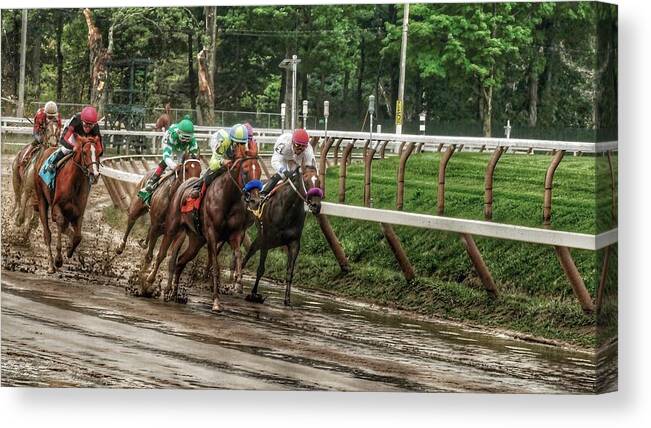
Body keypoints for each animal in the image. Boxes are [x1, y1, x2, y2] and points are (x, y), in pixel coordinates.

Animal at [33, 135, 101, 272]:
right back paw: (51, 265)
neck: (74, 182)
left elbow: (77, 236)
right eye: (84, 152)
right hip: (42, 200)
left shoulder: (78, 212)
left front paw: (70, 250)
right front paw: (59, 259)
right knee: (48, 234)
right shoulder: (56, 208)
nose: (95, 175)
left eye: (99, 153)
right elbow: (60, 223)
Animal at [115, 154, 201, 290]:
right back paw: (121, 247)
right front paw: (144, 277)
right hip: (137, 208)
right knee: (131, 222)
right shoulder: (157, 226)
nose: (194, 190)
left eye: (200, 170)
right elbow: (151, 255)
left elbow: (169, 258)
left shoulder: (179, 233)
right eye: (186, 169)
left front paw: (166, 286)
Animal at [145, 141, 262, 310]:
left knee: (180, 261)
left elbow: (238, 254)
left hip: (196, 240)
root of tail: (183, 185)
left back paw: (174, 293)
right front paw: (216, 301)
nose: (255, 201)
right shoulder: (212, 234)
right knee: (162, 254)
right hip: (173, 228)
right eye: (246, 172)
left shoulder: (234, 234)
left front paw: (238, 282)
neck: (228, 198)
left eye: (259, 172)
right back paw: (150, 279)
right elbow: (215, 267)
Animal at [242, 165, 324, 308]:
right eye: (306, 180)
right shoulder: (266, 239)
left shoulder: (294, 243)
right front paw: (253, 294)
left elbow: (289, 273)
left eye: (318, 181)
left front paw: (287, 300)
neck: (286, 209)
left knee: (250, 250)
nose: (316, 206)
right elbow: (260, 269)